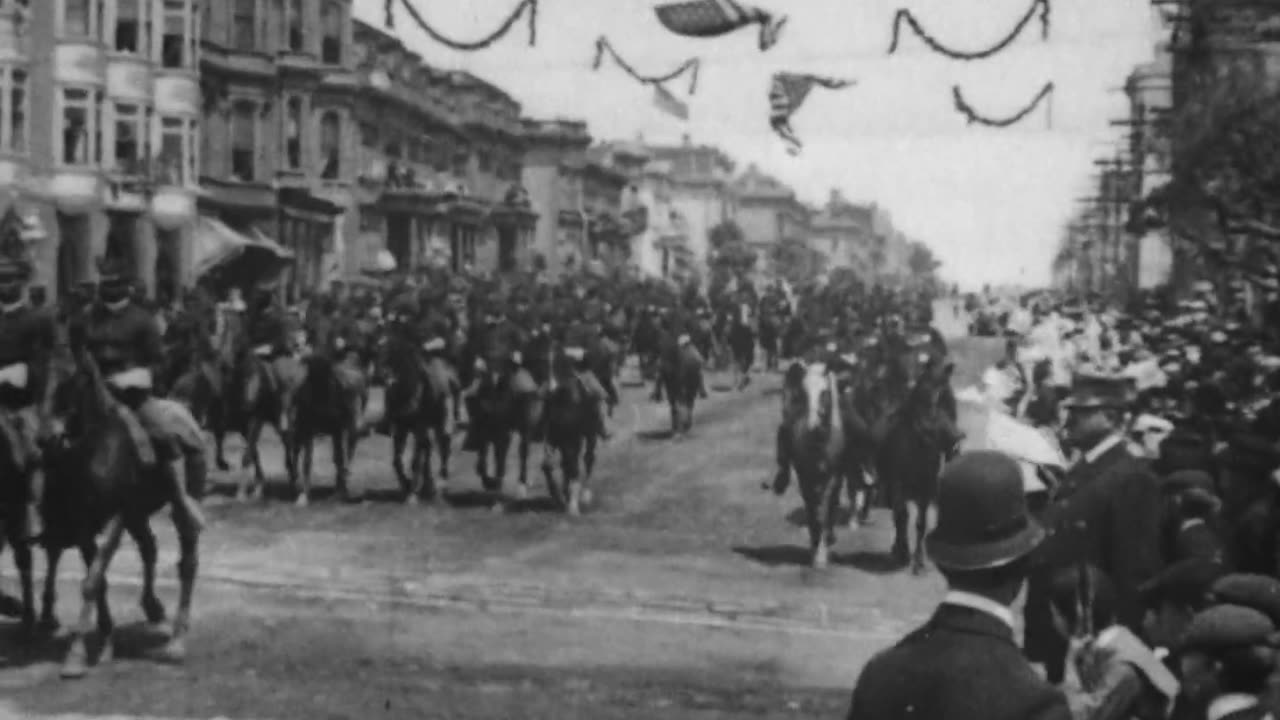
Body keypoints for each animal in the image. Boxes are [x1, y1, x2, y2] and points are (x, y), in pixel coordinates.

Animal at [880, 356, 962, 571]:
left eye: (946, 395)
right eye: (923, 388)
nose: (927, 426)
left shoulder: (926, 487)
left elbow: (921, 523)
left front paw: (919, 562)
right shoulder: (897, 483)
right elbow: (901, 516)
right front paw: (902, 552)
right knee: (898, 516)